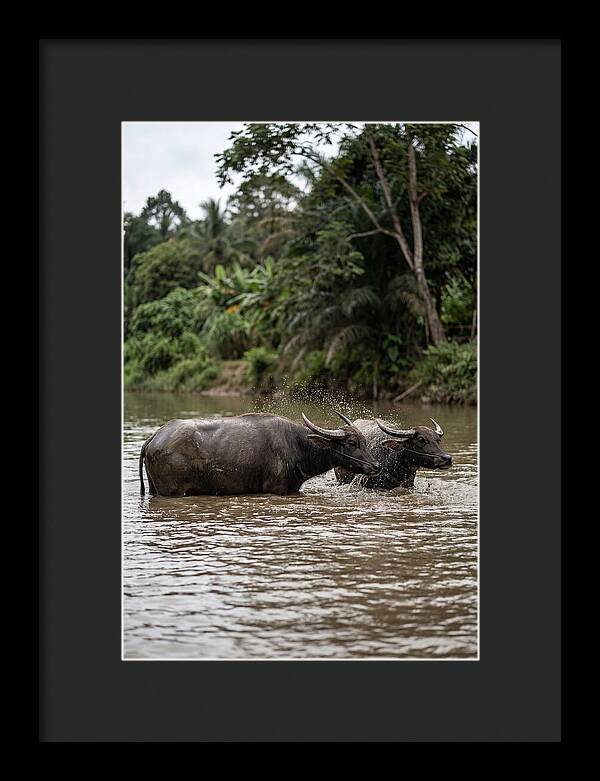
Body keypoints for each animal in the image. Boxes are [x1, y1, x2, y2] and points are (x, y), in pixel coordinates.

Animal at [139, 412, 381, 497]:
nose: (376, 465)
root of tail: (155, 437)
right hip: (172, 492)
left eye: (365, 441)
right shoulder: (276, 488)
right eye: (352, 442)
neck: (298, 445)